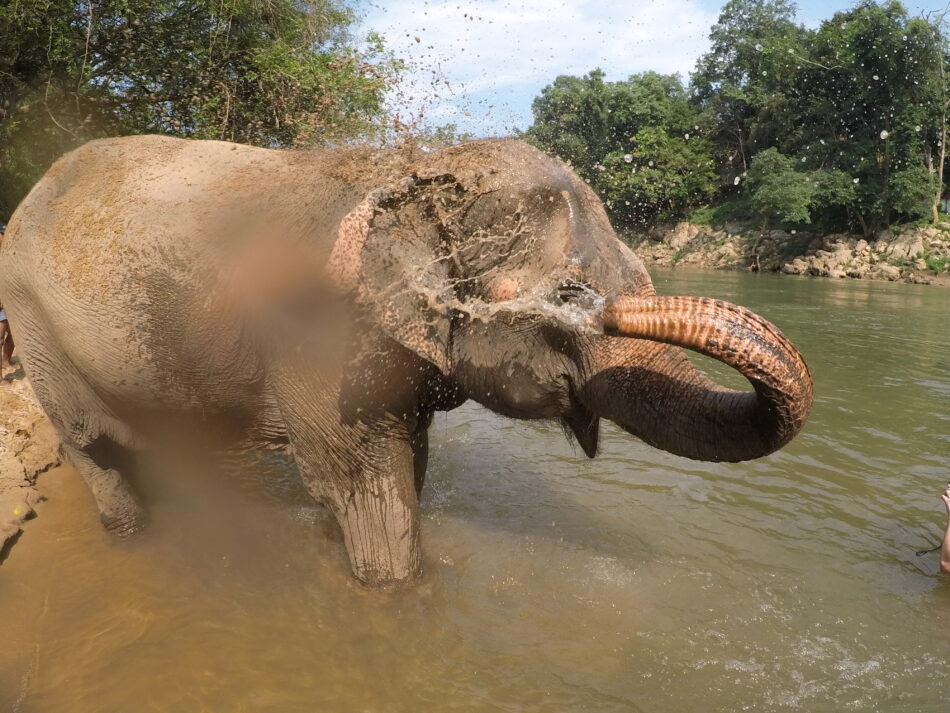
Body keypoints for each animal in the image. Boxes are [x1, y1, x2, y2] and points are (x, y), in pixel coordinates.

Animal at [0, 136, 816, 588]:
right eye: (564, 292)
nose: (595, 303)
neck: (414, 178)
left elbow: (406, 468)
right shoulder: (325, 343)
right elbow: (367, 485)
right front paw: (390, 589)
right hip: (33, 322)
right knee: (91, 444)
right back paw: (135, 535)